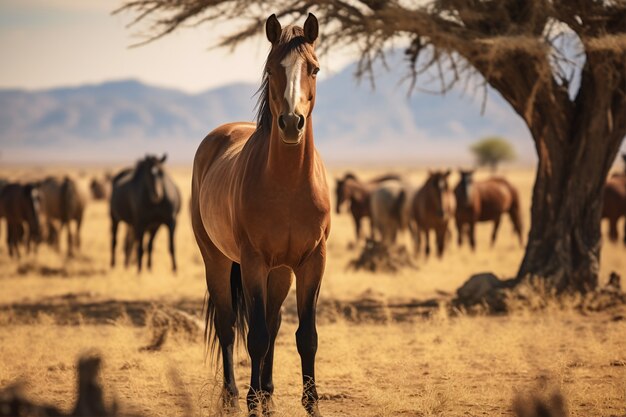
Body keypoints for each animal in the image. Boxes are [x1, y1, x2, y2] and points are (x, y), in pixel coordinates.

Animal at [190, 14, 330, 414]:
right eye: (270, 69)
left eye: (314, 68)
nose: (291, 123)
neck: (287, 186)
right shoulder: (252, 261)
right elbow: (255, 337)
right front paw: (252, 402)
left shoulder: (313, 261)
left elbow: (305, 336)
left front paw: (311, 403)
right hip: (217, 259)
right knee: (227, 326)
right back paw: (234, 396)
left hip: (280, 271)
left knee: (274, 320)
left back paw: (267, 393)